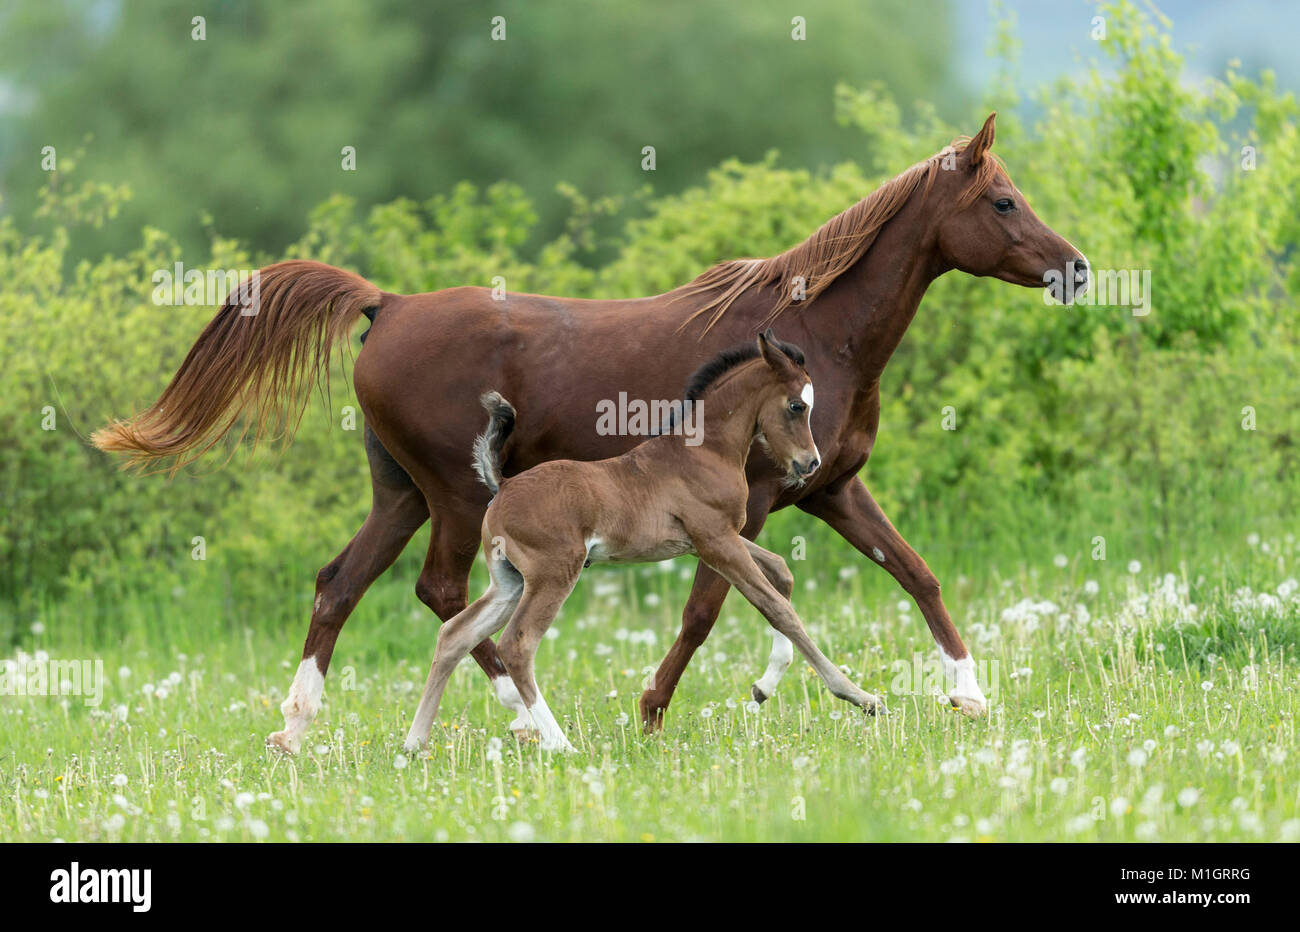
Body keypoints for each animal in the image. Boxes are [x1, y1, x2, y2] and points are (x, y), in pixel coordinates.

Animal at [400, 331, 878, 753]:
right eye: (797, 405)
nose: (810, 463)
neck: (703, 451)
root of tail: (503, 485)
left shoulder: (710, 539)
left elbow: (780, 572)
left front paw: (764, 686)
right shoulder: (717, 540)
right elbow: (778, 608)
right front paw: (861, 697)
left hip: (509, 582)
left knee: (454, 634)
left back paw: (414, 743)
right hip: (553, 575)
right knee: (517, 644)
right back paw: (561, 744)